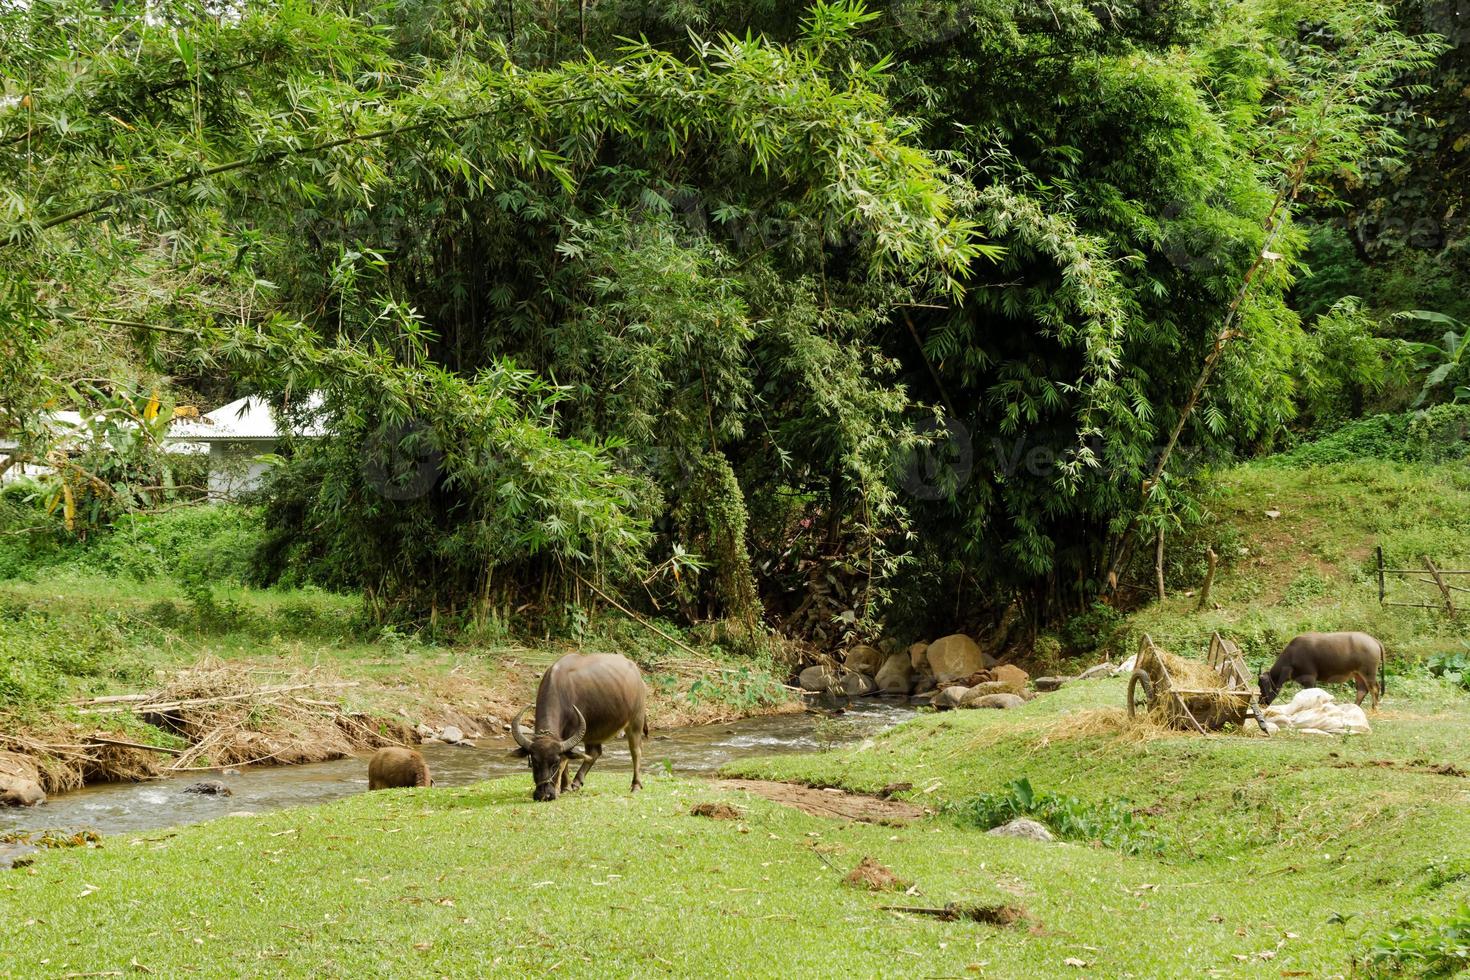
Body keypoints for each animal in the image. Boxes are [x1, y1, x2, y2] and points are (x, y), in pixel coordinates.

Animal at [511, 652, 649, 805]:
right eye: (534, 762)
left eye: (555, 763)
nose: (544, 795)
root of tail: (636, 673)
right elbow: (567, 759)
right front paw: (565, 787)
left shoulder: (571, 731)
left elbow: (565, 760)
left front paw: (559, 788)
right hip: (593, 730)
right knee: (594, 752)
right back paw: (576, 782)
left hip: (636, 720)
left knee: (636, 751)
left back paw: (636, 785)